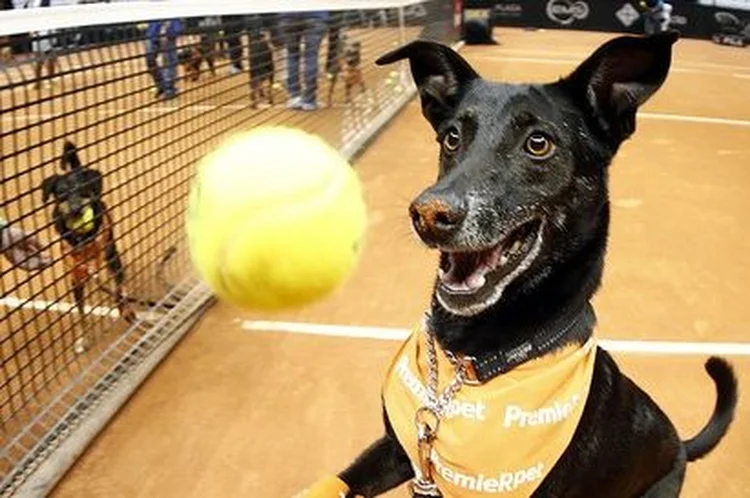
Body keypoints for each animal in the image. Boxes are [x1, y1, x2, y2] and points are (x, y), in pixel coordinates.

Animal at [42, 141, 137, 350]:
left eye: (84, 189)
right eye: (60, 193)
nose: (76, 210)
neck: (82, 238)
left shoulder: (109, 258)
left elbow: (119, 289)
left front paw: (127, 310)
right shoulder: (76, 279)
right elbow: (81, 314)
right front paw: (82, 339)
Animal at [306, 33, 740, 498]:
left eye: (538, 143)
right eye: (451, 137)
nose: (428, 214)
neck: (467, 361)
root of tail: (679, 444)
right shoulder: (398, 450)